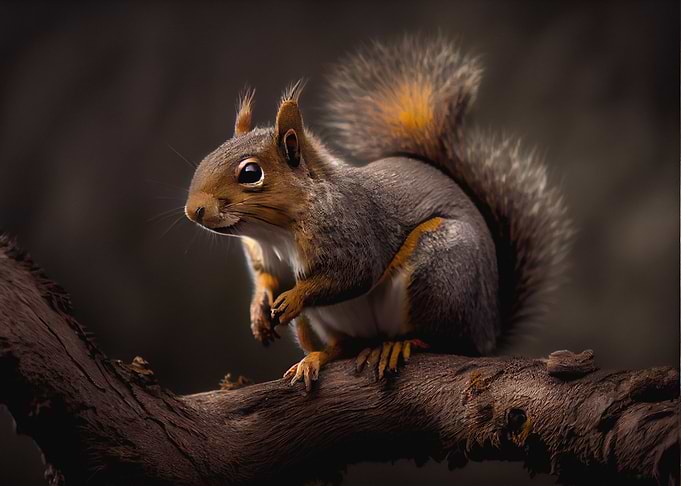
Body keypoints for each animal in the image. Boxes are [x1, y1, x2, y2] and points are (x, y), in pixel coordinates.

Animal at [184, 36, 572, 391]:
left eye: (251, 173)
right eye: (214, 151)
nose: (193, 210)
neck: (274, 231)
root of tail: (488, 330)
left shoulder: (352, 230)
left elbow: (353, 274)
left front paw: (294, 296)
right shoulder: (265, 255)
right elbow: (267, 279)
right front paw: (259, 311)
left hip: (441, 272)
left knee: (440, 339)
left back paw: (399, 344)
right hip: (322, 324)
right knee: (344, 345)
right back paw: (318, 357)